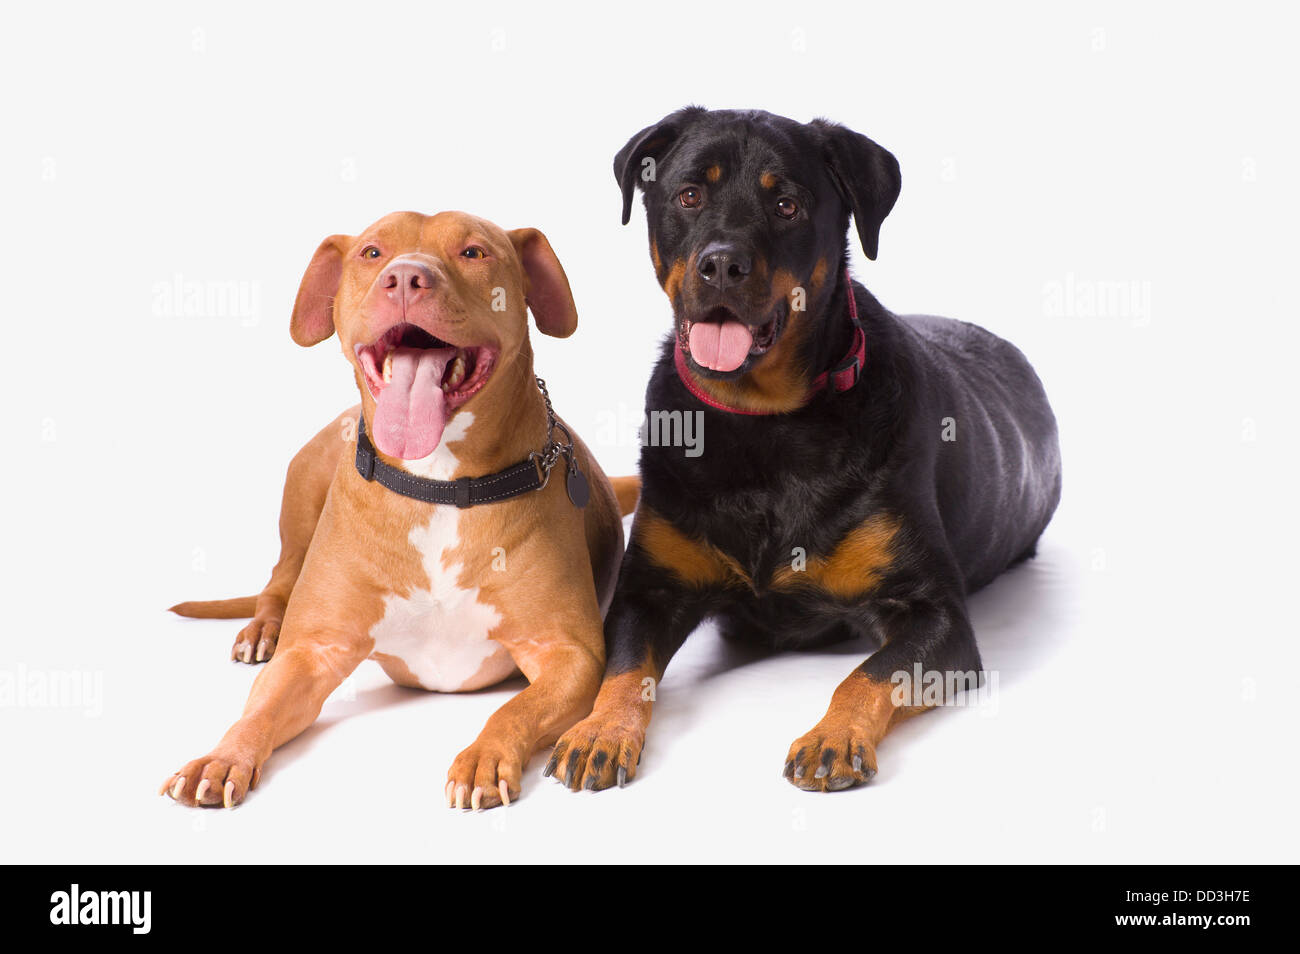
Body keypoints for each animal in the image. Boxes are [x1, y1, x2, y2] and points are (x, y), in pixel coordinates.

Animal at [165, 213, 631, 811]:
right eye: (371, 252)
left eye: (474, 251)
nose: (406, 277)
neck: (438, 485)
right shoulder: (312, 653)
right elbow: (259, 711)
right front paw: (223, 758)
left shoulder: (569, 653)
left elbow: (515, 707)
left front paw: (483, 756)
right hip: (304, 490)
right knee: (279, 576)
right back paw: (263, 628)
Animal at [543, 106, 1060, 790]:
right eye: (689, 195)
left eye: (786, 204)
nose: (722, 264)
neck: (763, 423)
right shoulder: (648, 590)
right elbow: (625, 668)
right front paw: (599, 731)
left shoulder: (934, 614)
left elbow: (868, 675)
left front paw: (832, 737)